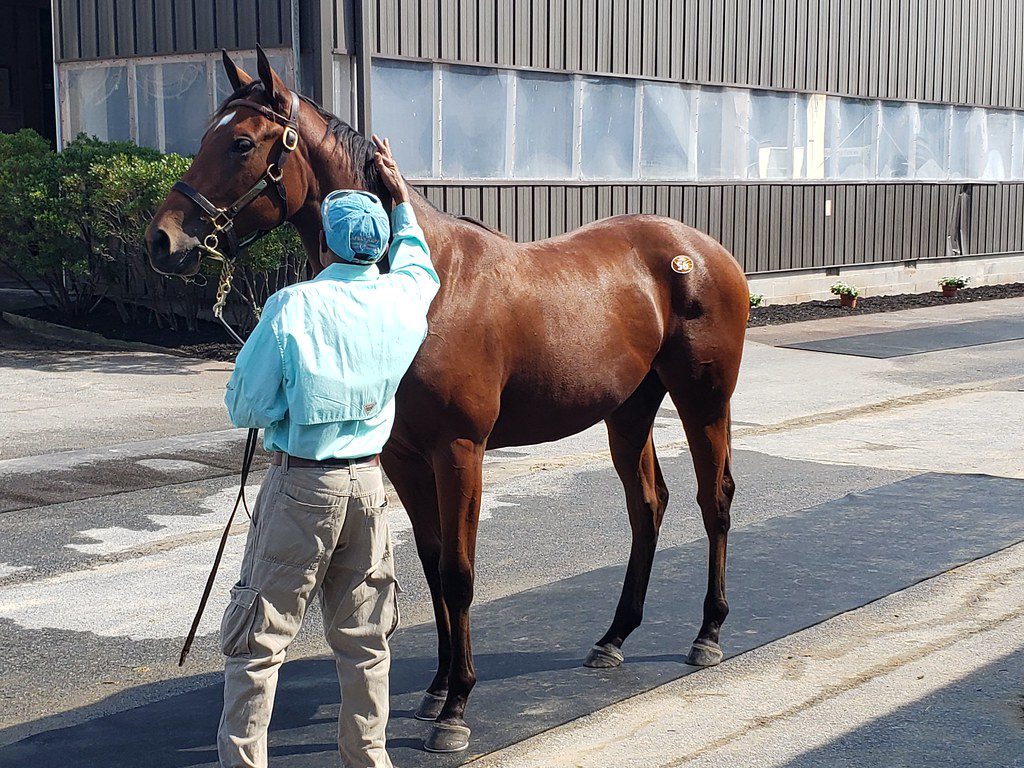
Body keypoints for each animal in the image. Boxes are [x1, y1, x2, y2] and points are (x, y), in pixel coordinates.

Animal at [146, 49, 745, 757]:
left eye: (241, 142)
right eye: (205, 137)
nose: (162, 240)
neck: (426, 282)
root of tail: (704, 250)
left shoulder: (460, 451)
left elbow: (459, 572)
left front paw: (457, 706)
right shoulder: (406, 459)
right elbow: (432, 566)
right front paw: (436, 686)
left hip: (704, 400)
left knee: (714, 500)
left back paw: (708, 633)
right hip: (628, 412)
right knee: (648, 506)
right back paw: (613, 637)